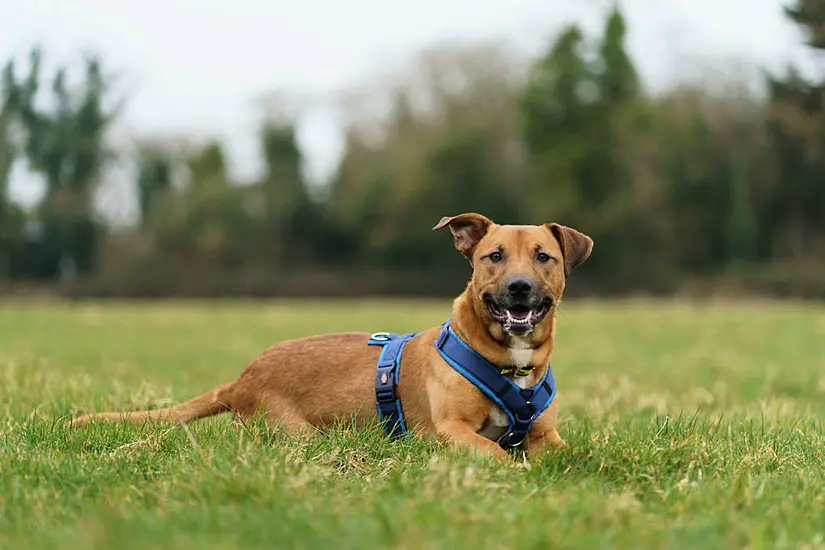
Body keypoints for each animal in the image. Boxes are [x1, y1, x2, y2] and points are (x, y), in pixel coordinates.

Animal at [72, 216, 592, 462]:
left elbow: (575, 456)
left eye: (543, 256)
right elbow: (494, 452)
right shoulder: (451, 431)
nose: (519, 288)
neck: (510, 365)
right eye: (494, 256)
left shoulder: (545, 435)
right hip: (297, 433)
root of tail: (241, 380)